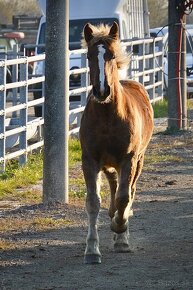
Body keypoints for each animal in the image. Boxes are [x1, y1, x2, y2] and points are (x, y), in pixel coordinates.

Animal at [79, 21, 153, 264]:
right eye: (89, 56)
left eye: (111, 55)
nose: (102, 91)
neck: (107, 117)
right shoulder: (90, 160)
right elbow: (93, 202)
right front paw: (92, 250)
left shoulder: (128, 159)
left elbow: (123, 197)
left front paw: (120, 232)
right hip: (109, 164)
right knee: (113, 185)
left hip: (137, 161)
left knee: (129, 191)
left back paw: (121, 230)